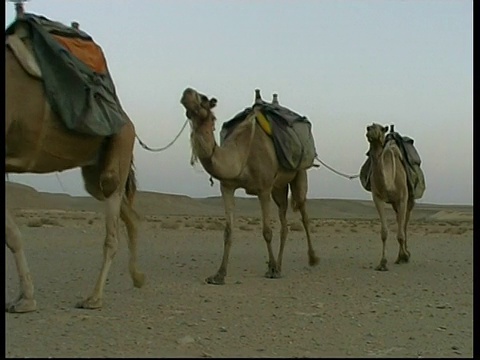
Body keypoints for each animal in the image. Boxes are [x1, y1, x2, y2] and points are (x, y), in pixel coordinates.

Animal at [5, 20, 144, 312]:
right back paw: (138, 277)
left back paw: (94, 297)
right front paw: (24, 298)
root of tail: (127, 119)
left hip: (118, 150)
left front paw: (27, 300)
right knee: (129, 215)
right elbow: (12, 234)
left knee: (112, 230)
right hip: (94, 173)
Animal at [180, 86, 318, 284]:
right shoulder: (227, 187)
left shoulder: (264, 188)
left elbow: (266, 231)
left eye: (204, 98)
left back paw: (311, 259)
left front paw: (272, 268)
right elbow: (228, 231)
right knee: (284, 222)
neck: (240, 156)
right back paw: (279, 266)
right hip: (278, 187)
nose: (187, 91)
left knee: (303, 212)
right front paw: (219, 274)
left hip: (299, 174)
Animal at [366, 123, 414, 270]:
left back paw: (406, 253)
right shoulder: (377, 198)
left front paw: (404, 256)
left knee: (404, 224)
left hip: (408, 200)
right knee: (400, 220)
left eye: (381, 128)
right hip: (394, 204)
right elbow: (384, 232)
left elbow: (401, 233)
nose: (369, 130)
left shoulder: (403, 198)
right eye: (369, 126)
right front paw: (382, 262)